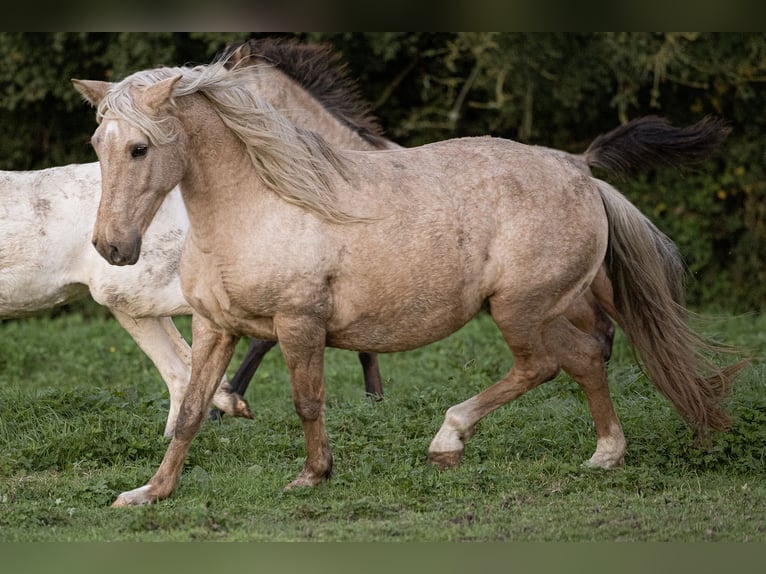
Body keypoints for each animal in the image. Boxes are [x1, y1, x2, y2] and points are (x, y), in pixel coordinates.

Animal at [73, 60, 744, 506]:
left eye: (139, 148)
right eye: (98, 144)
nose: (112, 247)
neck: (261, 205)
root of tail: (579, 167)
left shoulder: (298, 324)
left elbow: (307, 401)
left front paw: (312, 476)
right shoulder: (216, 327)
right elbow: (189, 409)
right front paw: (150, 492)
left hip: (521, 309)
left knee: (551, 363)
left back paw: (458, 439)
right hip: (545, 309)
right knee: (581, 358)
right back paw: (601, 453)